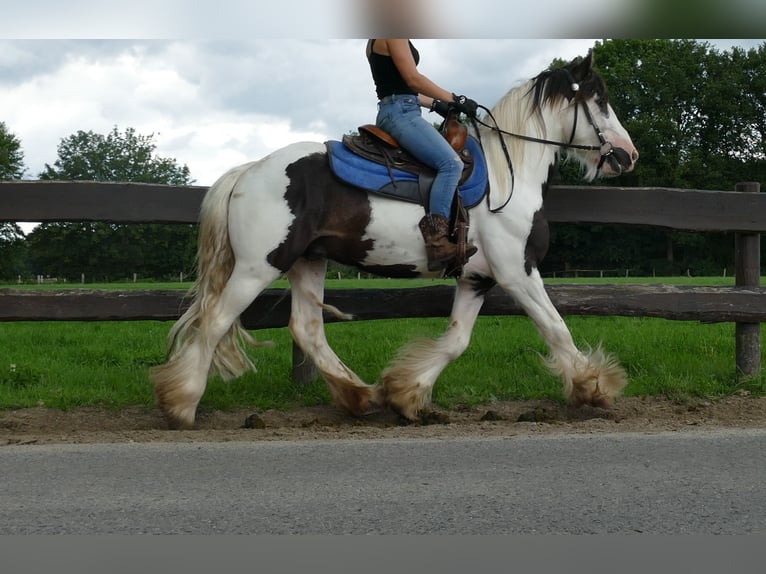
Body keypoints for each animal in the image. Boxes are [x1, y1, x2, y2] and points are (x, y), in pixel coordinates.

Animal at [153, 54, 640, 430]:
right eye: (599, 100)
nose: (627, 155)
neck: (508, 178)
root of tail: (248, 171)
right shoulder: (516, 271)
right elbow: (555, 327)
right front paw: (594, 387)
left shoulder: (476, 279)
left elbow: (457, 340)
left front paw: (406, 394)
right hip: (259, 266)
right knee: (215, 321)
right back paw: (180, 404)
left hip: (309, 261)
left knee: (306, 329)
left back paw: (359, 396)